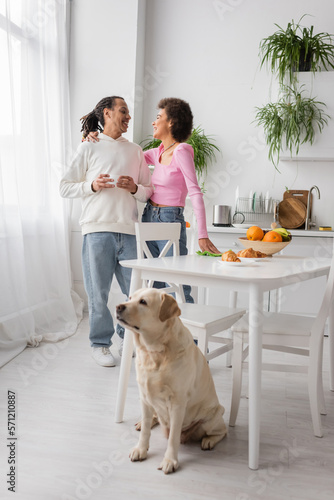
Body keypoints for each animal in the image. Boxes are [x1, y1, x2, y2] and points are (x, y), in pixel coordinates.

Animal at [116, 290, 228, 472]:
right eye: (130, 298)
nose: (118, 307)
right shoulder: (144, 397)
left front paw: (170, 460)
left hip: (212, 417)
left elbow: (173, 437)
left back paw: (209, 440)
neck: (153, 352)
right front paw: (141, 449)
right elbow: (145, 430)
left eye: (143, 302)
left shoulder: (177, 404)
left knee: (222, 431)